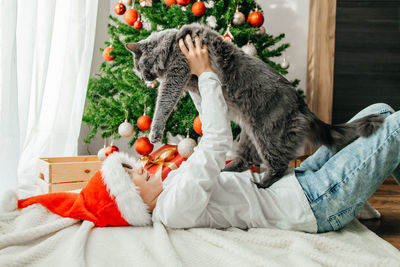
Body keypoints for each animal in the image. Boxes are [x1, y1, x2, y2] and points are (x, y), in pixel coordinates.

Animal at [126, 23, 384, 188]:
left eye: (139, 67)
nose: (144, 78)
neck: (171, 45)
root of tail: (302, 105)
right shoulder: (190, 84)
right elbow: (198, 103)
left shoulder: (177, 73)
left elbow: (163, 104)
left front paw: (154, 134)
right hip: (249, 135)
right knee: (247, 161)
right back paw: (227, 170)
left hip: (267, 135)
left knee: (280, 165)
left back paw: (263, 183)